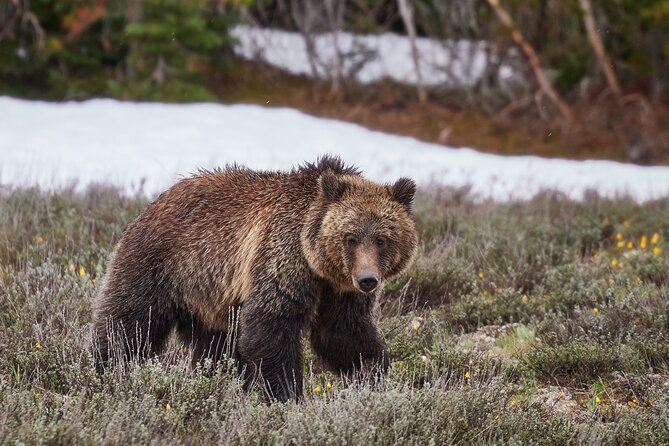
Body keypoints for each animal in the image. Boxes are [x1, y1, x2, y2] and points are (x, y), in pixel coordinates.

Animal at [92, 155, 418, 402]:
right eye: (350, 238)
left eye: (382, 239)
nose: (367, 279)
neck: (321, 268)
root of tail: (155, 200)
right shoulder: (282, 258)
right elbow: (270, 327)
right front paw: (289, 395)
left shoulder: (339, 293)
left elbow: (344, 333)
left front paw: (372, 373)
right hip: (161, 264)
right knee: (128, 324)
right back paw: (107, 371)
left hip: (211, 300)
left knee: (215, 347)